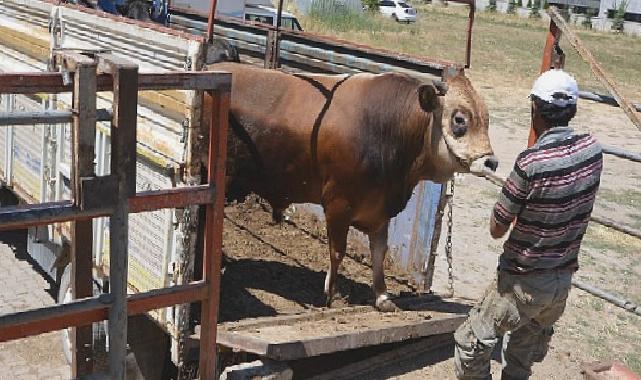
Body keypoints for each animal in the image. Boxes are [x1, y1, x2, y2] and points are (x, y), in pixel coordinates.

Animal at [205, 62, 496, 310]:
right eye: (459, 119)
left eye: (486, 119)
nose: (491, 162)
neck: (386, 127)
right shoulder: (337, 205)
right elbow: (337, 251)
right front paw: (330, 296)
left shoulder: (380, 212)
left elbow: (379, 253)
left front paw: (382, 297)